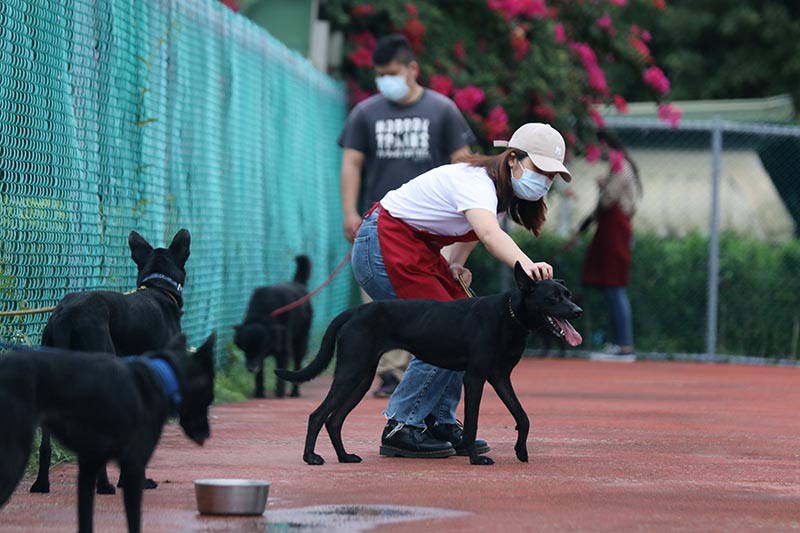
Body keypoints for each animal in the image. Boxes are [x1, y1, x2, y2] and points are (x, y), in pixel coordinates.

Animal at [0, 332, 216, 532]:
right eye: (210, 397)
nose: (207, 434)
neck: (162, 377)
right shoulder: (133, 466)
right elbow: (134, 522)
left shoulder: (88, 465)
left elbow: (86, 519)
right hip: (15, 457)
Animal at [234, 256, 312, 396]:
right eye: (245, 350)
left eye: (260, 349)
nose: (251, 368)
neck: (263, 314)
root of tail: (298, 283)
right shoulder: (259, 358)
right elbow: (260, 375)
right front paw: (259, 393)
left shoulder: (282, 350)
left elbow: (282, 372)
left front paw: (280, 392)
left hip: (300, 343)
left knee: (298, 365)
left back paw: (294, 392)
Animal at [276, 262, 580, 466]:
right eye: (552, 297)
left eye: (568, 294)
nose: (578, 311)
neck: (510, 315)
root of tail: (355, 310)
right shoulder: (475, 378)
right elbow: (472, 423)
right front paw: (474, 458)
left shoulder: (500, 378)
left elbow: (523, 416)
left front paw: (521, 451)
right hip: (350, 372)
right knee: (318, 415)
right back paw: (310, 457)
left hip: (362, 377)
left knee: (334, 419)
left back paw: (344, 456)